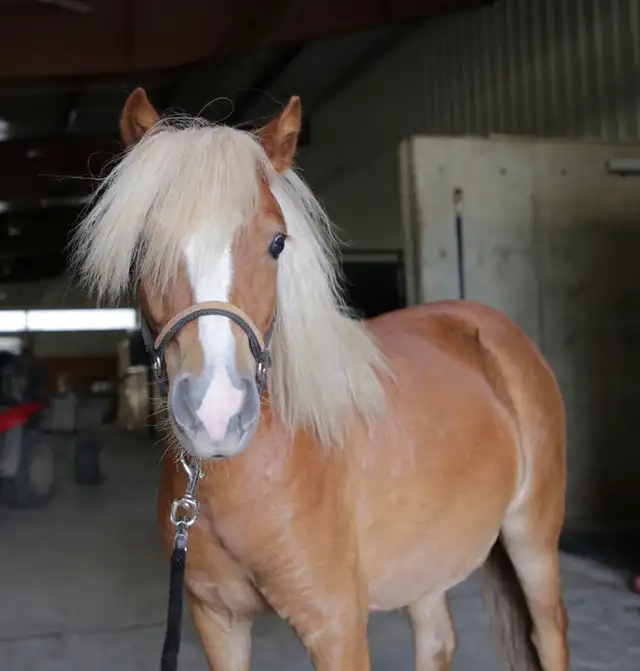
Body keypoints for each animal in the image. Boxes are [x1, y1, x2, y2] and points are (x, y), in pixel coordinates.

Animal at [71, 88, 568, 671]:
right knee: (437, 636)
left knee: (548, 632)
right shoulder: (217, 619)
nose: (216, 414)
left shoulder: (336, 629)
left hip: (532, 537)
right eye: (144, 246)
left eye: (277, 242)